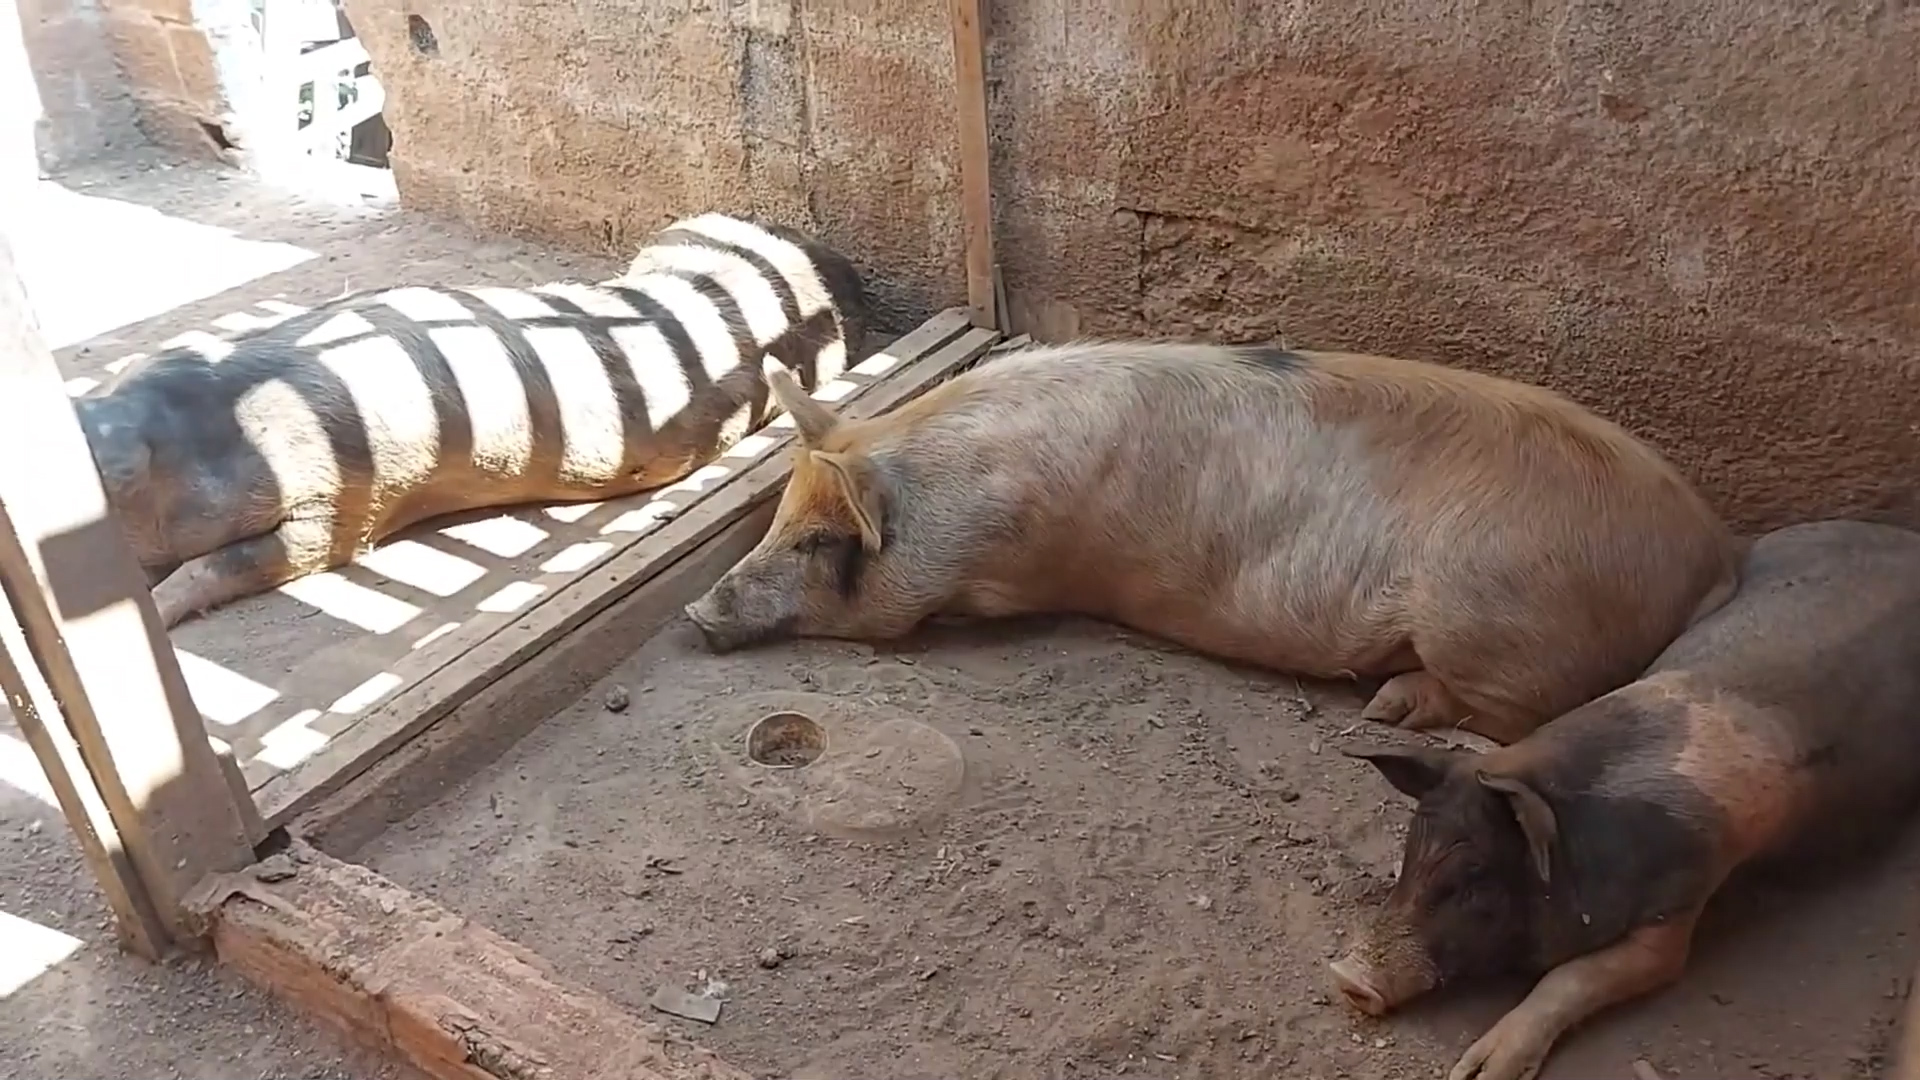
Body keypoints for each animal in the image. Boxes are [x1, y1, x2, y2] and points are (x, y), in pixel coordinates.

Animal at [679, 340, 1743, 745]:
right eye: (778, 517)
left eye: (820, 541)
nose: (694, 611)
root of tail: (1710, 553)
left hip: (1489, 619)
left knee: (1511, 713)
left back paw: (1389, 707)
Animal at [1328, 518, 1920, 1076]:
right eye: (1412, 846)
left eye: (1476, 878)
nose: (1346, 978)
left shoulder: (1683, 898)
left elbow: (1584, 975)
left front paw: (1477, 1071)